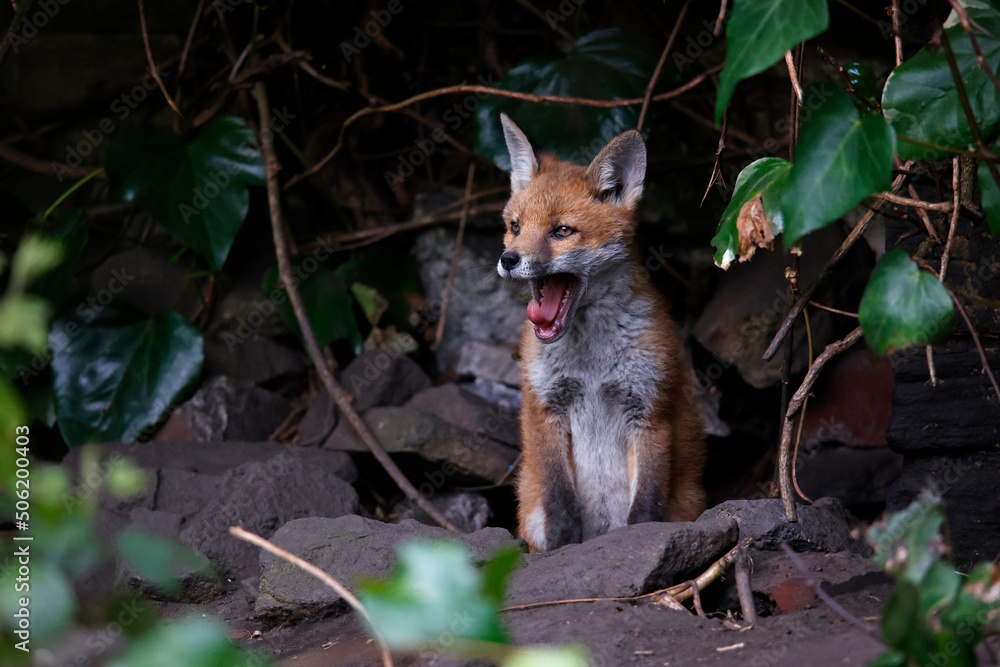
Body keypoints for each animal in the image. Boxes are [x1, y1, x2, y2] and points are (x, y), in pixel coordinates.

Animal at [496, 113, 707, 552]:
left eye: (561, 230)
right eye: (515, 227)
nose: (508, 259)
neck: (591, 368)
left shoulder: (650, 411)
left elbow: (646, 506)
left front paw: (639, 540)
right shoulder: (545, 409)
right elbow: (560, 503)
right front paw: (563, 548)